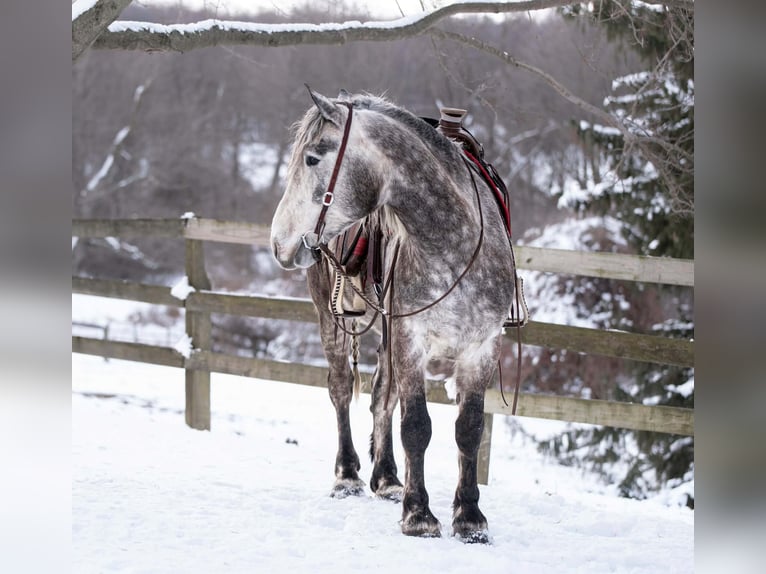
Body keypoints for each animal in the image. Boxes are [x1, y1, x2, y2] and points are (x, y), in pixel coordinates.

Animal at [270, 87, 516, 543]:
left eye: (312, 158)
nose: (279, 242)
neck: (451, 242)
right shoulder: (410, 340)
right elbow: (416, 426)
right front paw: (419, 515)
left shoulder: (482, 348)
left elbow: (469, 428)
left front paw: (470, 517)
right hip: (333, 319)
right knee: (342, 389)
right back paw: (348, 475)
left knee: (382, 395)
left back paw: (386, 478)